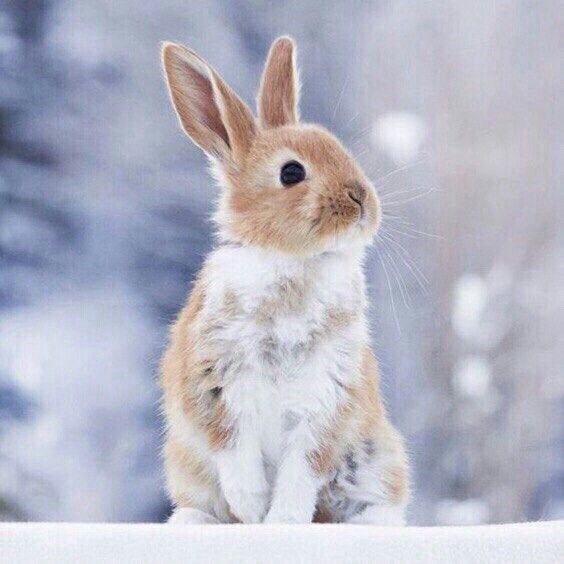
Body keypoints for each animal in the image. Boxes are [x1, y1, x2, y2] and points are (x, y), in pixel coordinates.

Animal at [158, 36, 406, 524]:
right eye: (292, 172)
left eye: (339, 149)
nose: (361, 199)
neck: (296, 264)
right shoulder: (214, 389)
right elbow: (236, 457)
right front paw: (254, 511)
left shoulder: (328, 402)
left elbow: (302, 471)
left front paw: (282, 522)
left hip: (374, 460)